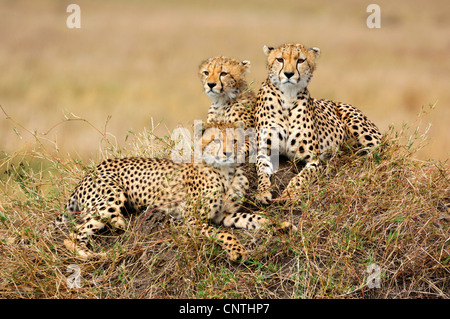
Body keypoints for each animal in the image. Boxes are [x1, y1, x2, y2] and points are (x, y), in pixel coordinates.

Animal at [59, 121, 296, 262]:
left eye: (235, 140)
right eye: (216, 140)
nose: (228, 153)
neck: (226, 173)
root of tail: (90, 172)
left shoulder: (226, 215)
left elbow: (255, 218)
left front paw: (281, 225)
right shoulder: (192, 222)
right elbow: (223, 233)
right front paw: (236, 250)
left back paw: (118, 223)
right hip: (112, 196)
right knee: (72, 235)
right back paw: (89, 254)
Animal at [255, 43, 382, 205]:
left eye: (300, 60)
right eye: (280, 59)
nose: (288, 74)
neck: (288, 97)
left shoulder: (314, 159)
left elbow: (300, 178)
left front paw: (288, 195)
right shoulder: (264, 151)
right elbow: (261, 171)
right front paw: (262, 192)